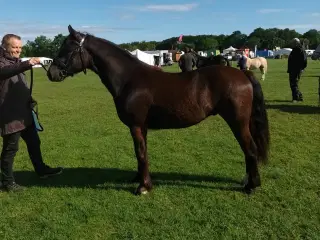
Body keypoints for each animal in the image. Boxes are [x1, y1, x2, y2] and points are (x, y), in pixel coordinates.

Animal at [46, 25, 268, 196]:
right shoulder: (141, 127)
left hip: (237, 122)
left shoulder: (136, 125)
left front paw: (143, 187)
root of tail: (243, 74)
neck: (129, 79)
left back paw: (251, 186)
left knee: (250, 149)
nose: (51, 73)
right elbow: (141, 153)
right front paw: (139, 178)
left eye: (67, 49)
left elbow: (141, 153)